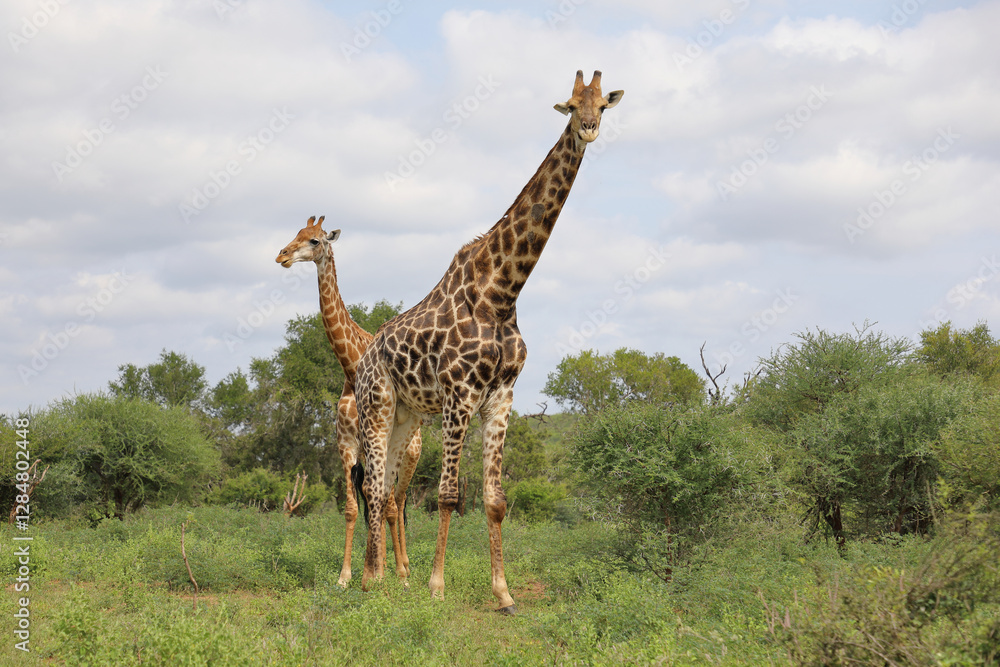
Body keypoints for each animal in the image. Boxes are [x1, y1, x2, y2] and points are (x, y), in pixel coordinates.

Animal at [275, 215, 422, 585]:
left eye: (314, 240)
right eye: (296, 233)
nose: (282, 255)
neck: (351, 364)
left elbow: (383, 505)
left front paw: (387, 573)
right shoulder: (346, 447)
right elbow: (353, 508)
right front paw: (348, 576)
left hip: (411, 455)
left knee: (397, 503)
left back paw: (404, 567)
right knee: (382, 503)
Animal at [354, 71, 623, 612]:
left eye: (603, 104)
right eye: (571, 106)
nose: (588, 128)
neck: (502, 292)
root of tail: (366, 356)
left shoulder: (501, 396)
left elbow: (495, 501)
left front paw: (503, 593)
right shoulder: (460, 395)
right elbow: (449, 495)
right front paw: (437, 587)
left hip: (406, 416)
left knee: (386, 489)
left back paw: (384, 578)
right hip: (377, 406)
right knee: (372, 486)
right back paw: (369, 581)